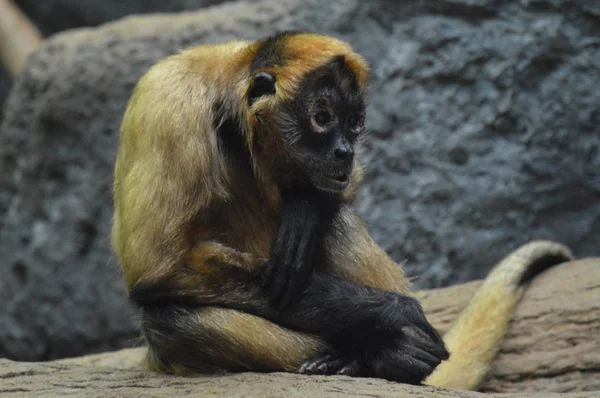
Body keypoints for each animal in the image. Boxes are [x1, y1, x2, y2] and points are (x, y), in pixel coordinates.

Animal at [112, 31, 572, 388]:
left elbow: (334, 196)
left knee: (337, 222)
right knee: (170, 321)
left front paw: (307, 208)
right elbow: (159, 267)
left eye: (353, 123)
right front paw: (394, 314)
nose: (344, 151)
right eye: (322, 117)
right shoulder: (171, 106)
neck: (233, 125)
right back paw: (376, 356)